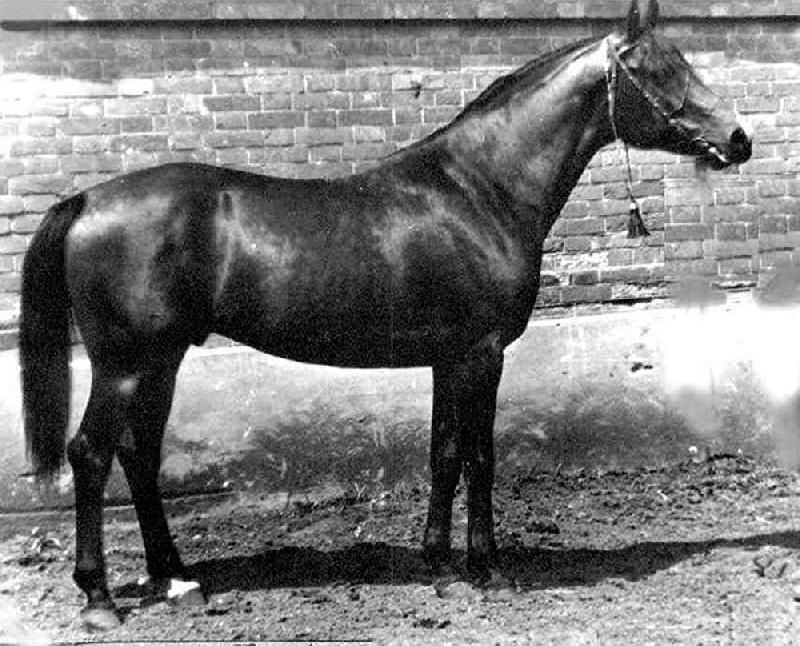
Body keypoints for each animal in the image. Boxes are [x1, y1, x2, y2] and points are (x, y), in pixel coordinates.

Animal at [19, 0, 751, 630]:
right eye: (656, 69)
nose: (738, 139)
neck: (478, 191)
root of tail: (86, 200)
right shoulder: (482, 354)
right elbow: (481, 454)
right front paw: (486, 569)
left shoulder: (447, 359)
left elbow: (444, 453)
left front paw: (438, 564)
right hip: (122, 364)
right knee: (91, 454)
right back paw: (100, 598)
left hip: (162, 361)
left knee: (139, 455)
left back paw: (177, 579)